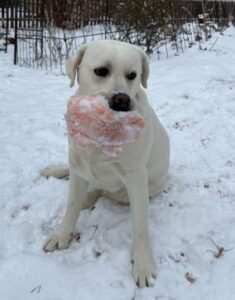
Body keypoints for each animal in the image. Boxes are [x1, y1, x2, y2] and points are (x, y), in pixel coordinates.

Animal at [42, 40, 170, 288]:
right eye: (101, 70)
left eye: (132, 75)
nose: (122, 99)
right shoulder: (78, 164)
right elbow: (71, 206)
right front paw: (62, 234)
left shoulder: (135, 177)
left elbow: (140, 226)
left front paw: (143, 264)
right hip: (77, 162)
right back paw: (56, 173)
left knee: (103, 190)